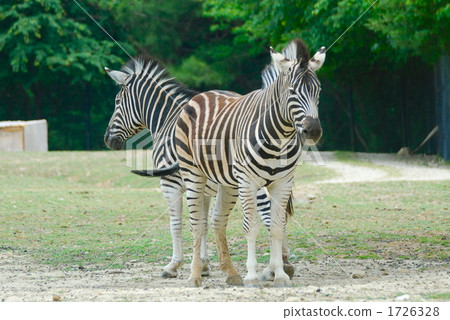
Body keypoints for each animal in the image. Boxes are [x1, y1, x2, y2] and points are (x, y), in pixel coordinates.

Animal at [103, 57, 298, 282]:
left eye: (117, 102)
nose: (107, 140)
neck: (167, 121)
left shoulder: (170, 183)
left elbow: (177, 223)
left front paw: (174, 265)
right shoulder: (201, 185)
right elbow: (202, 223)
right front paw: (203, 265)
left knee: (269, 216)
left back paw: (276, 267)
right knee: (278, 217)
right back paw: (283, 264)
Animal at [171, 39, 324, 288]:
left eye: (318, 90)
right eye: (292, 91)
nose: (314, 131)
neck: (278, 137)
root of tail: (204, 94)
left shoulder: (283, 182)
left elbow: (277, 227)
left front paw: (280, 275)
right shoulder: (249, 182)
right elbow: (251, 226)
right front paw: (252, 276)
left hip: (227, 183)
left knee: (217, 220)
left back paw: (231, 273)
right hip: (193, 173)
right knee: (197, 224)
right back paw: (195, 276)